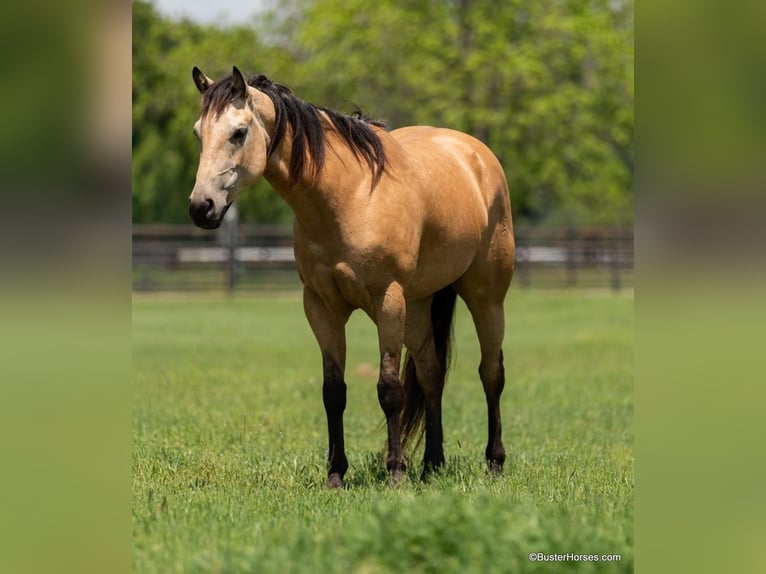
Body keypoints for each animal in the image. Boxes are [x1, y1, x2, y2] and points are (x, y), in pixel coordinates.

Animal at [189, 66, 515, 487]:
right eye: (198, 133)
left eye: (239, 133)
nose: (201, 207)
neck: (349, 197)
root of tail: (477, 155)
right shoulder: (321, 308)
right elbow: (334, 391)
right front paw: (336, 475)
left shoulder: (388, 302)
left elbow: (389, 389)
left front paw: (394, 473)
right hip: (420, 304)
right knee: (431, 375)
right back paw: (431, 465)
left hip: (486, 297)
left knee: (491, 372)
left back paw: (493, 462)